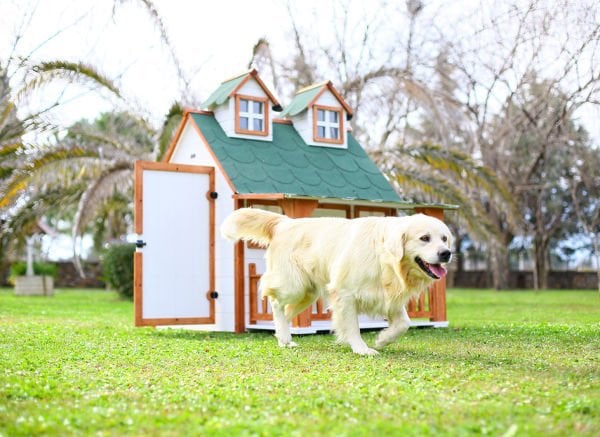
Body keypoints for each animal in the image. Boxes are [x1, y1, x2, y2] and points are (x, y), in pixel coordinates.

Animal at [223, 208, 452, 354]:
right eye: (424, 238)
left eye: (444, 238)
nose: (446, 253)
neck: (384, 255)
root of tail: (285, 222)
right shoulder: (345, 293)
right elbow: (352, 326)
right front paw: (362, 349)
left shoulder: (388, 296)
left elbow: (404, 323)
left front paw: (383, 339)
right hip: (293, 285)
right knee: (275, 301)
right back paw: (285, 337)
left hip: (308, 293)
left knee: (285, 312)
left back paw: (283, 338)